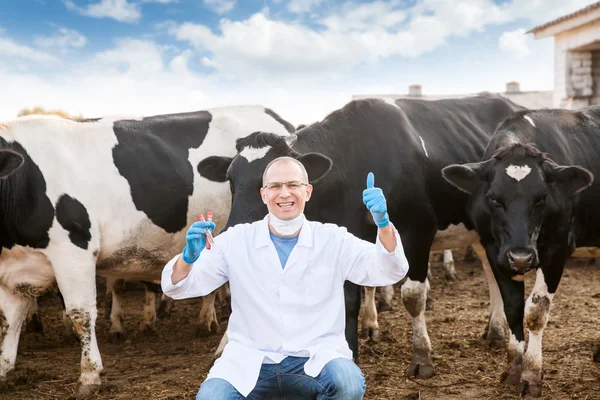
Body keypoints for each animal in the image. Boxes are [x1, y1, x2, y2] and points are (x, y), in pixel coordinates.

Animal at [0, 106, 292, 396]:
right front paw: (5, 370)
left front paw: (89, 376)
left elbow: (80, 315)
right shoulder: (14, 269)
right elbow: (8, 320)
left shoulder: (74, 251)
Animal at [199, 95, 524, 376]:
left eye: (280, 182)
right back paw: (495, 330)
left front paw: (421, 358)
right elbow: (348, 299)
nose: (232, 230)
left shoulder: (417, 229)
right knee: (490, 269)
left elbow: (413, 297)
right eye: (230, 179)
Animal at [440, 108, 600, 396]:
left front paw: (531, 374)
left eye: (542, 198)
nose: (521, 256)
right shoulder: (495, 251)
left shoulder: (556, 251)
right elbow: (512, 308)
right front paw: (514, 369)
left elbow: (535, 313)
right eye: (493, 199)